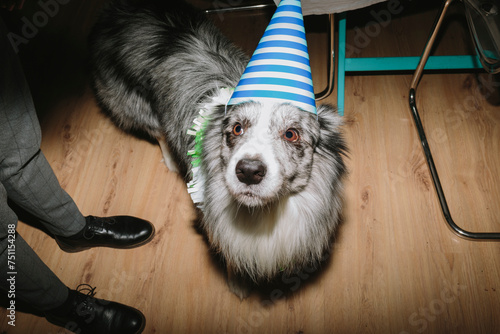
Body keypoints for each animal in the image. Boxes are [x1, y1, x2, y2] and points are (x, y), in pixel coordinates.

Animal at [88, 0, 346, 298]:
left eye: (291, 134)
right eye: (237, 129)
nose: (248, 171)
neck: (263, 213)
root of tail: (119, 8)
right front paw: (238, 282)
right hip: (134, 104)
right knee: (157, 130)